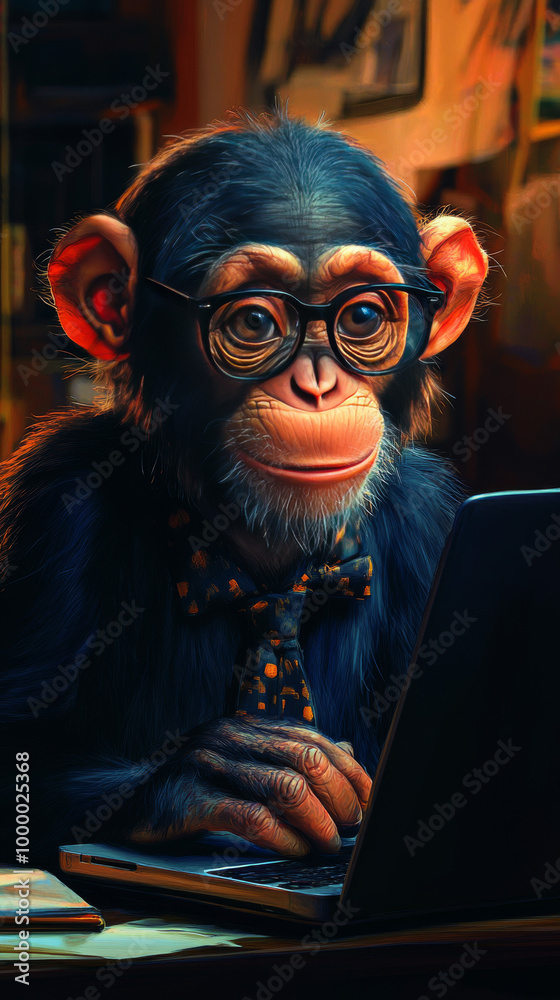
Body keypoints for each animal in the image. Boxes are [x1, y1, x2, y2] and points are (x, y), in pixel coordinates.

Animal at [0, 109, 487, 866]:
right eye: (255, 321)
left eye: (362, 318)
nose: (316, 385)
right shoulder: (57, 502)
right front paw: (229, 772)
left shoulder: (437, 520)